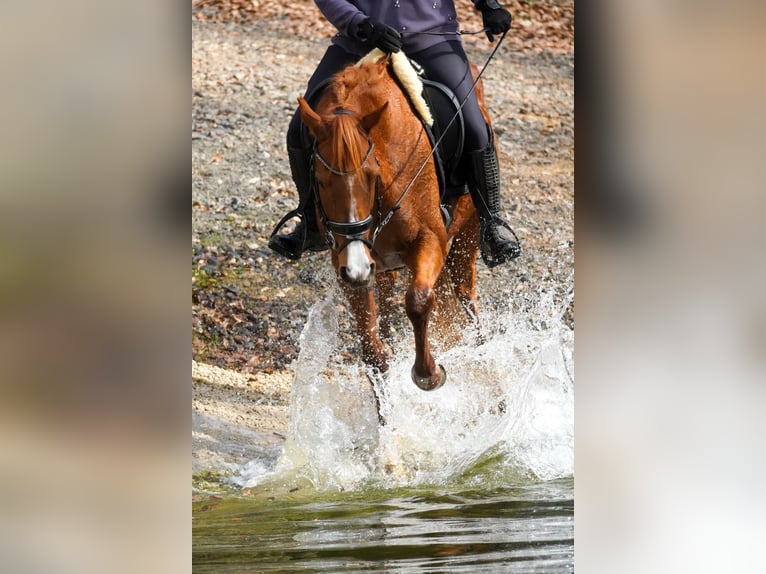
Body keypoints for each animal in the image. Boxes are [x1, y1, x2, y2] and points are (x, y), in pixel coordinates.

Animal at [298, 53, 494, 393]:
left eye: (372, 176)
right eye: (319, 181)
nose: (359, 267)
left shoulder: (431, 240)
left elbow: (417, 301)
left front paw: (429, 374)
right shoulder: (346, 262)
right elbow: (373, 351)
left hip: (467, 234)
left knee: (467, 300)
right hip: (382, 268)